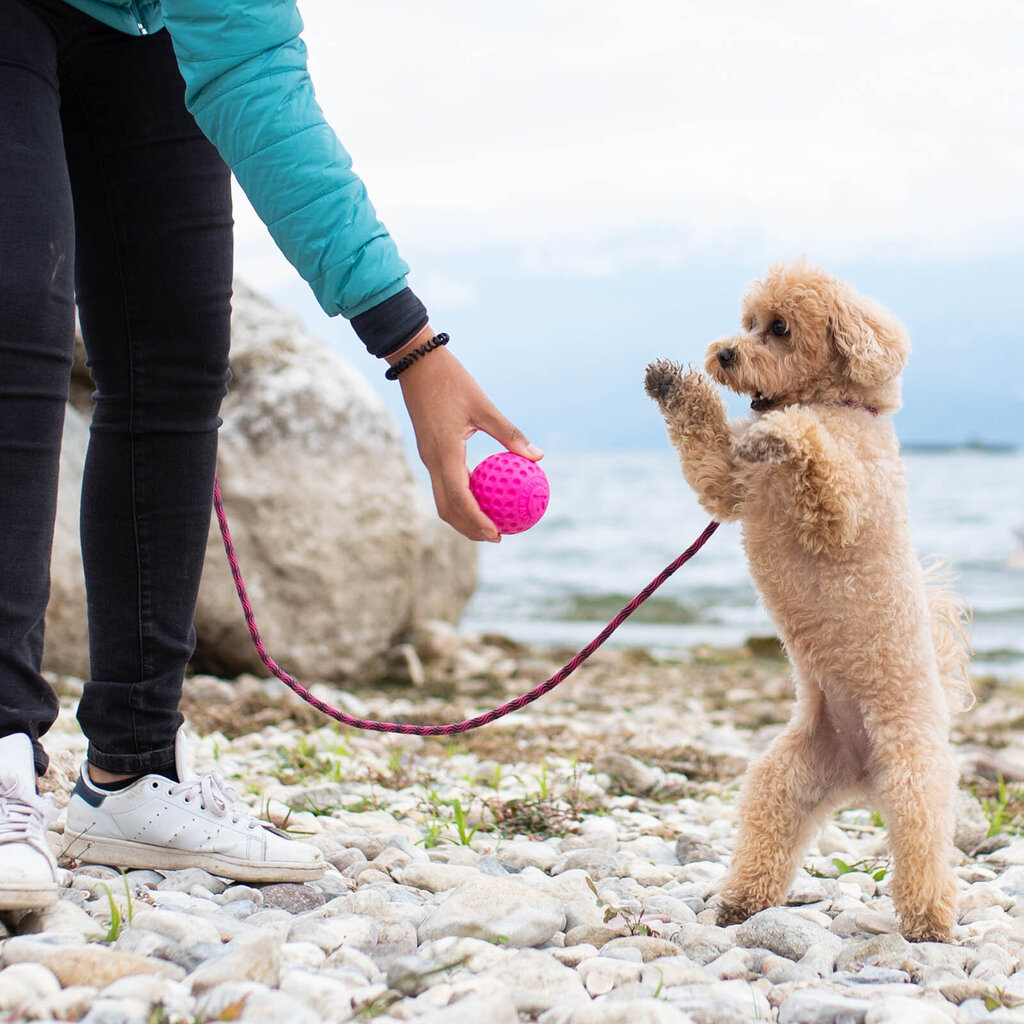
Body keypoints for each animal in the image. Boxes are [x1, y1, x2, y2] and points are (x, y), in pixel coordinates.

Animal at [643, 264, 970, 942]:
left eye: (781, 328)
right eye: (747, 324)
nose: (725, 353)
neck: (837, 403)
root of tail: (860, 773)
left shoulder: (841, 506)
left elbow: (812, 453)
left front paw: (782, 432)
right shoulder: (729, 485)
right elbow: (706, 445)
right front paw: (672, 383)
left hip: (912, 772)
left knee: (923, 843)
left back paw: (929, 922)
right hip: (786, 778)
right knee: (769, 834)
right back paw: (740, 904)